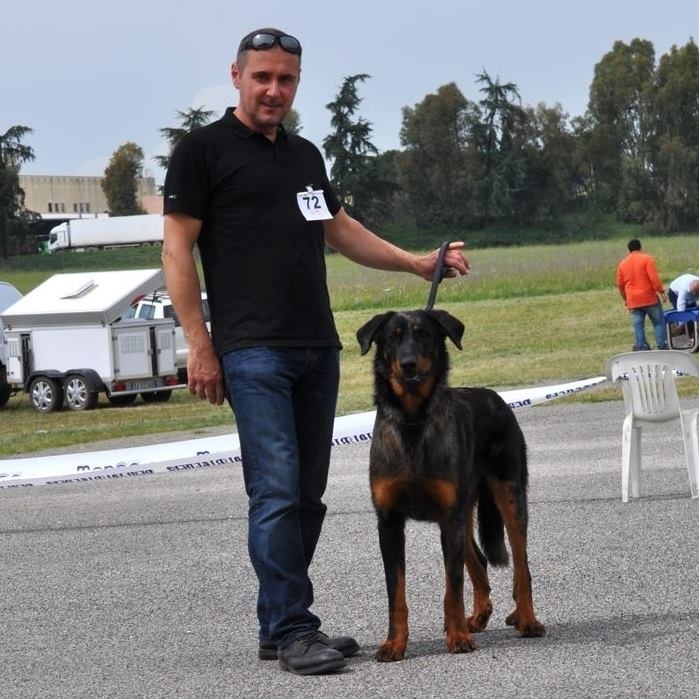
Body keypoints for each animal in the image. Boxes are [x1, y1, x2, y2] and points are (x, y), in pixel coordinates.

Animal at [356, 310, 548, 660]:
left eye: (424, 335)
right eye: (392, 337)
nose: (408, 364)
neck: (413, 421)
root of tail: (494, 397)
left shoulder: (449, 517)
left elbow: (453, 586)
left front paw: (457, 637)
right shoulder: (390, 522)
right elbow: (396, 593)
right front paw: (394, 643)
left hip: (508, 496)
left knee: (521, 565)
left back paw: (527, 619)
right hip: (463, 512)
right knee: (479, 560)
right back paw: (480, 615)